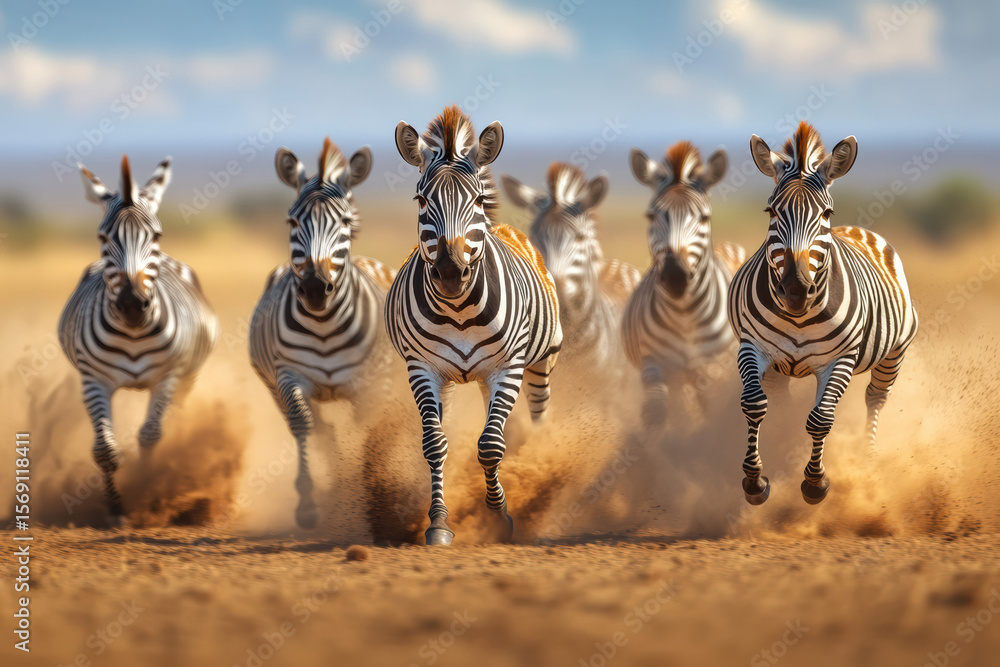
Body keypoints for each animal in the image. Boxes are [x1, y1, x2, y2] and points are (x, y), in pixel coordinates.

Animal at [59, 156, 218, 524]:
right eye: (103, 237)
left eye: (156, 235)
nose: (132, 305)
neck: (133, 333)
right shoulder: (94, 379)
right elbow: (105, 449)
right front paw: (116, 509)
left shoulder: (168, 377)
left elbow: (150, 436)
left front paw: (147, 490)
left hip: (189, 377)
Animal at [249, 137, 396, 529]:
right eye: (292, 220)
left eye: (344, 221)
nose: (315, 288)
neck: (324, 325)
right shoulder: (287, 376)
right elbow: (304, 426)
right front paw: (309, 505)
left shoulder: (371, 386)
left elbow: (369, 431)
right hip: (273, 387)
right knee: (319, 429)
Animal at [386, 105, 563, 546]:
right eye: (421, 199)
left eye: (479, 199)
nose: (451, 273)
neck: (460, 312)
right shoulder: (422, 368)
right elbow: (435, 444)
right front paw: (438, 522)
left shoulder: (509, 367)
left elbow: (490, 446)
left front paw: (499, 518)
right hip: (459, 379)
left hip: (539, 364)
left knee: (535, 421)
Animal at [623, 141, 745, 427]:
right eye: (651, 216)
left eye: (703, 218)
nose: (674, 275)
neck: (684, 314)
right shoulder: (654, 365)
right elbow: (656, 413)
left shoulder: (716, 369)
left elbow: (714, 414)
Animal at [729, 122, 918, 505]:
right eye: (771, 212)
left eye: (826, 214)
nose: (795, 290)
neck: (799, 316)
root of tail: (857, 229)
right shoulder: (751, 346)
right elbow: (754, 403)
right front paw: (755, 481)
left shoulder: (840, 359)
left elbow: (821, 420)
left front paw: (815, 483)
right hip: (781, 365)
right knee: (781, 399)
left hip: (894, 352)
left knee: (875, 398)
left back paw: (868, 463)